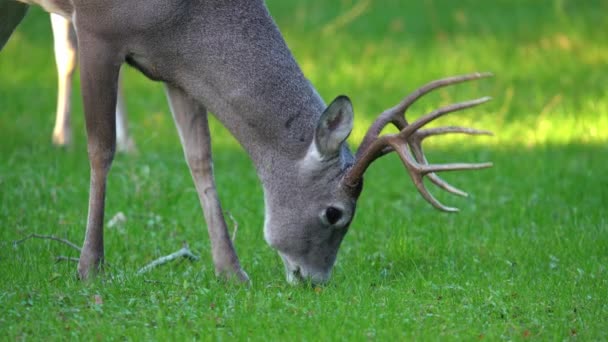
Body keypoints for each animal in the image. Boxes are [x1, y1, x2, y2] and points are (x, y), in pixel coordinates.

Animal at [0, 0, 492, 284]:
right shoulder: (99, 29)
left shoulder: (173, 66)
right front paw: (89, 267)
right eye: (335, 213)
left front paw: (231, 271)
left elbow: (200, 157)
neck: (185, 18)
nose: (315, 280)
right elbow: (101, 150)